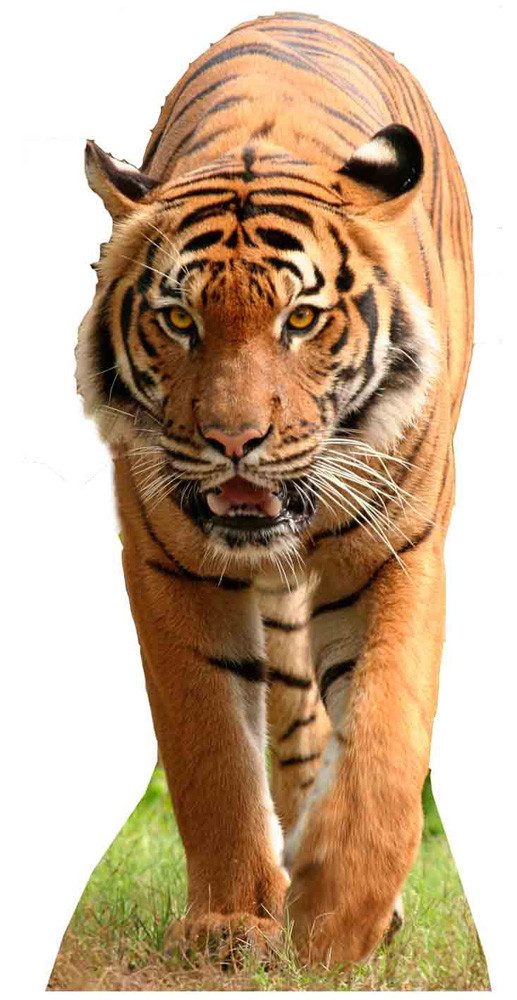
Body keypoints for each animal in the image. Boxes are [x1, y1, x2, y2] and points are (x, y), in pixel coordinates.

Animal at [76, 11, 473, 965]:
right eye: (179, 319)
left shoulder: (400, 548)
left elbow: (387, 729)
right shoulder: (165, 563)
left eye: (300, 318)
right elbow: (208, 747)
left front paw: (342, 914)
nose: (233, 443)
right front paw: (231, 919)